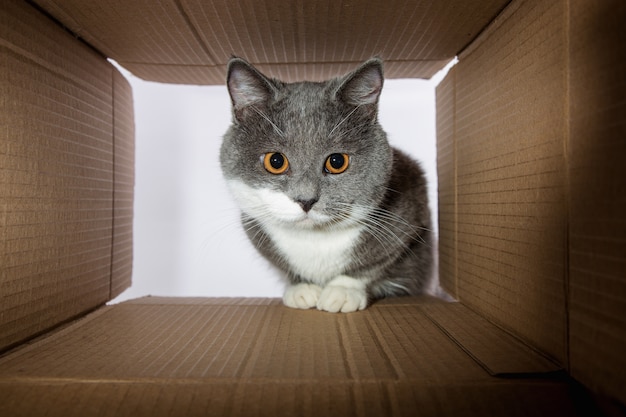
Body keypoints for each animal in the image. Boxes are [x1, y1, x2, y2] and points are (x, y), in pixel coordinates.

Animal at [222, 57, 432, 312]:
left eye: (337, 161)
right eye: (275, 161)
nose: (306, 200)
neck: (315, 238)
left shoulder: (406, 220)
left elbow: (371, 266)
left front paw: (342, 291)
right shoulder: (253, 226)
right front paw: (301, 288)